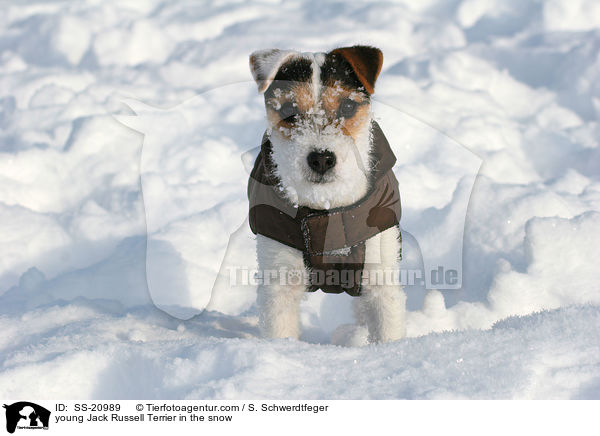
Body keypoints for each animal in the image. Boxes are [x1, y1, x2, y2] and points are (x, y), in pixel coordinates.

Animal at [246, 44, 406, 344]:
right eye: (288, 109)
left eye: (348, 106)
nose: (321, 158)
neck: (327, 207)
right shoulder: (279, 281)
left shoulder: (381, 281)